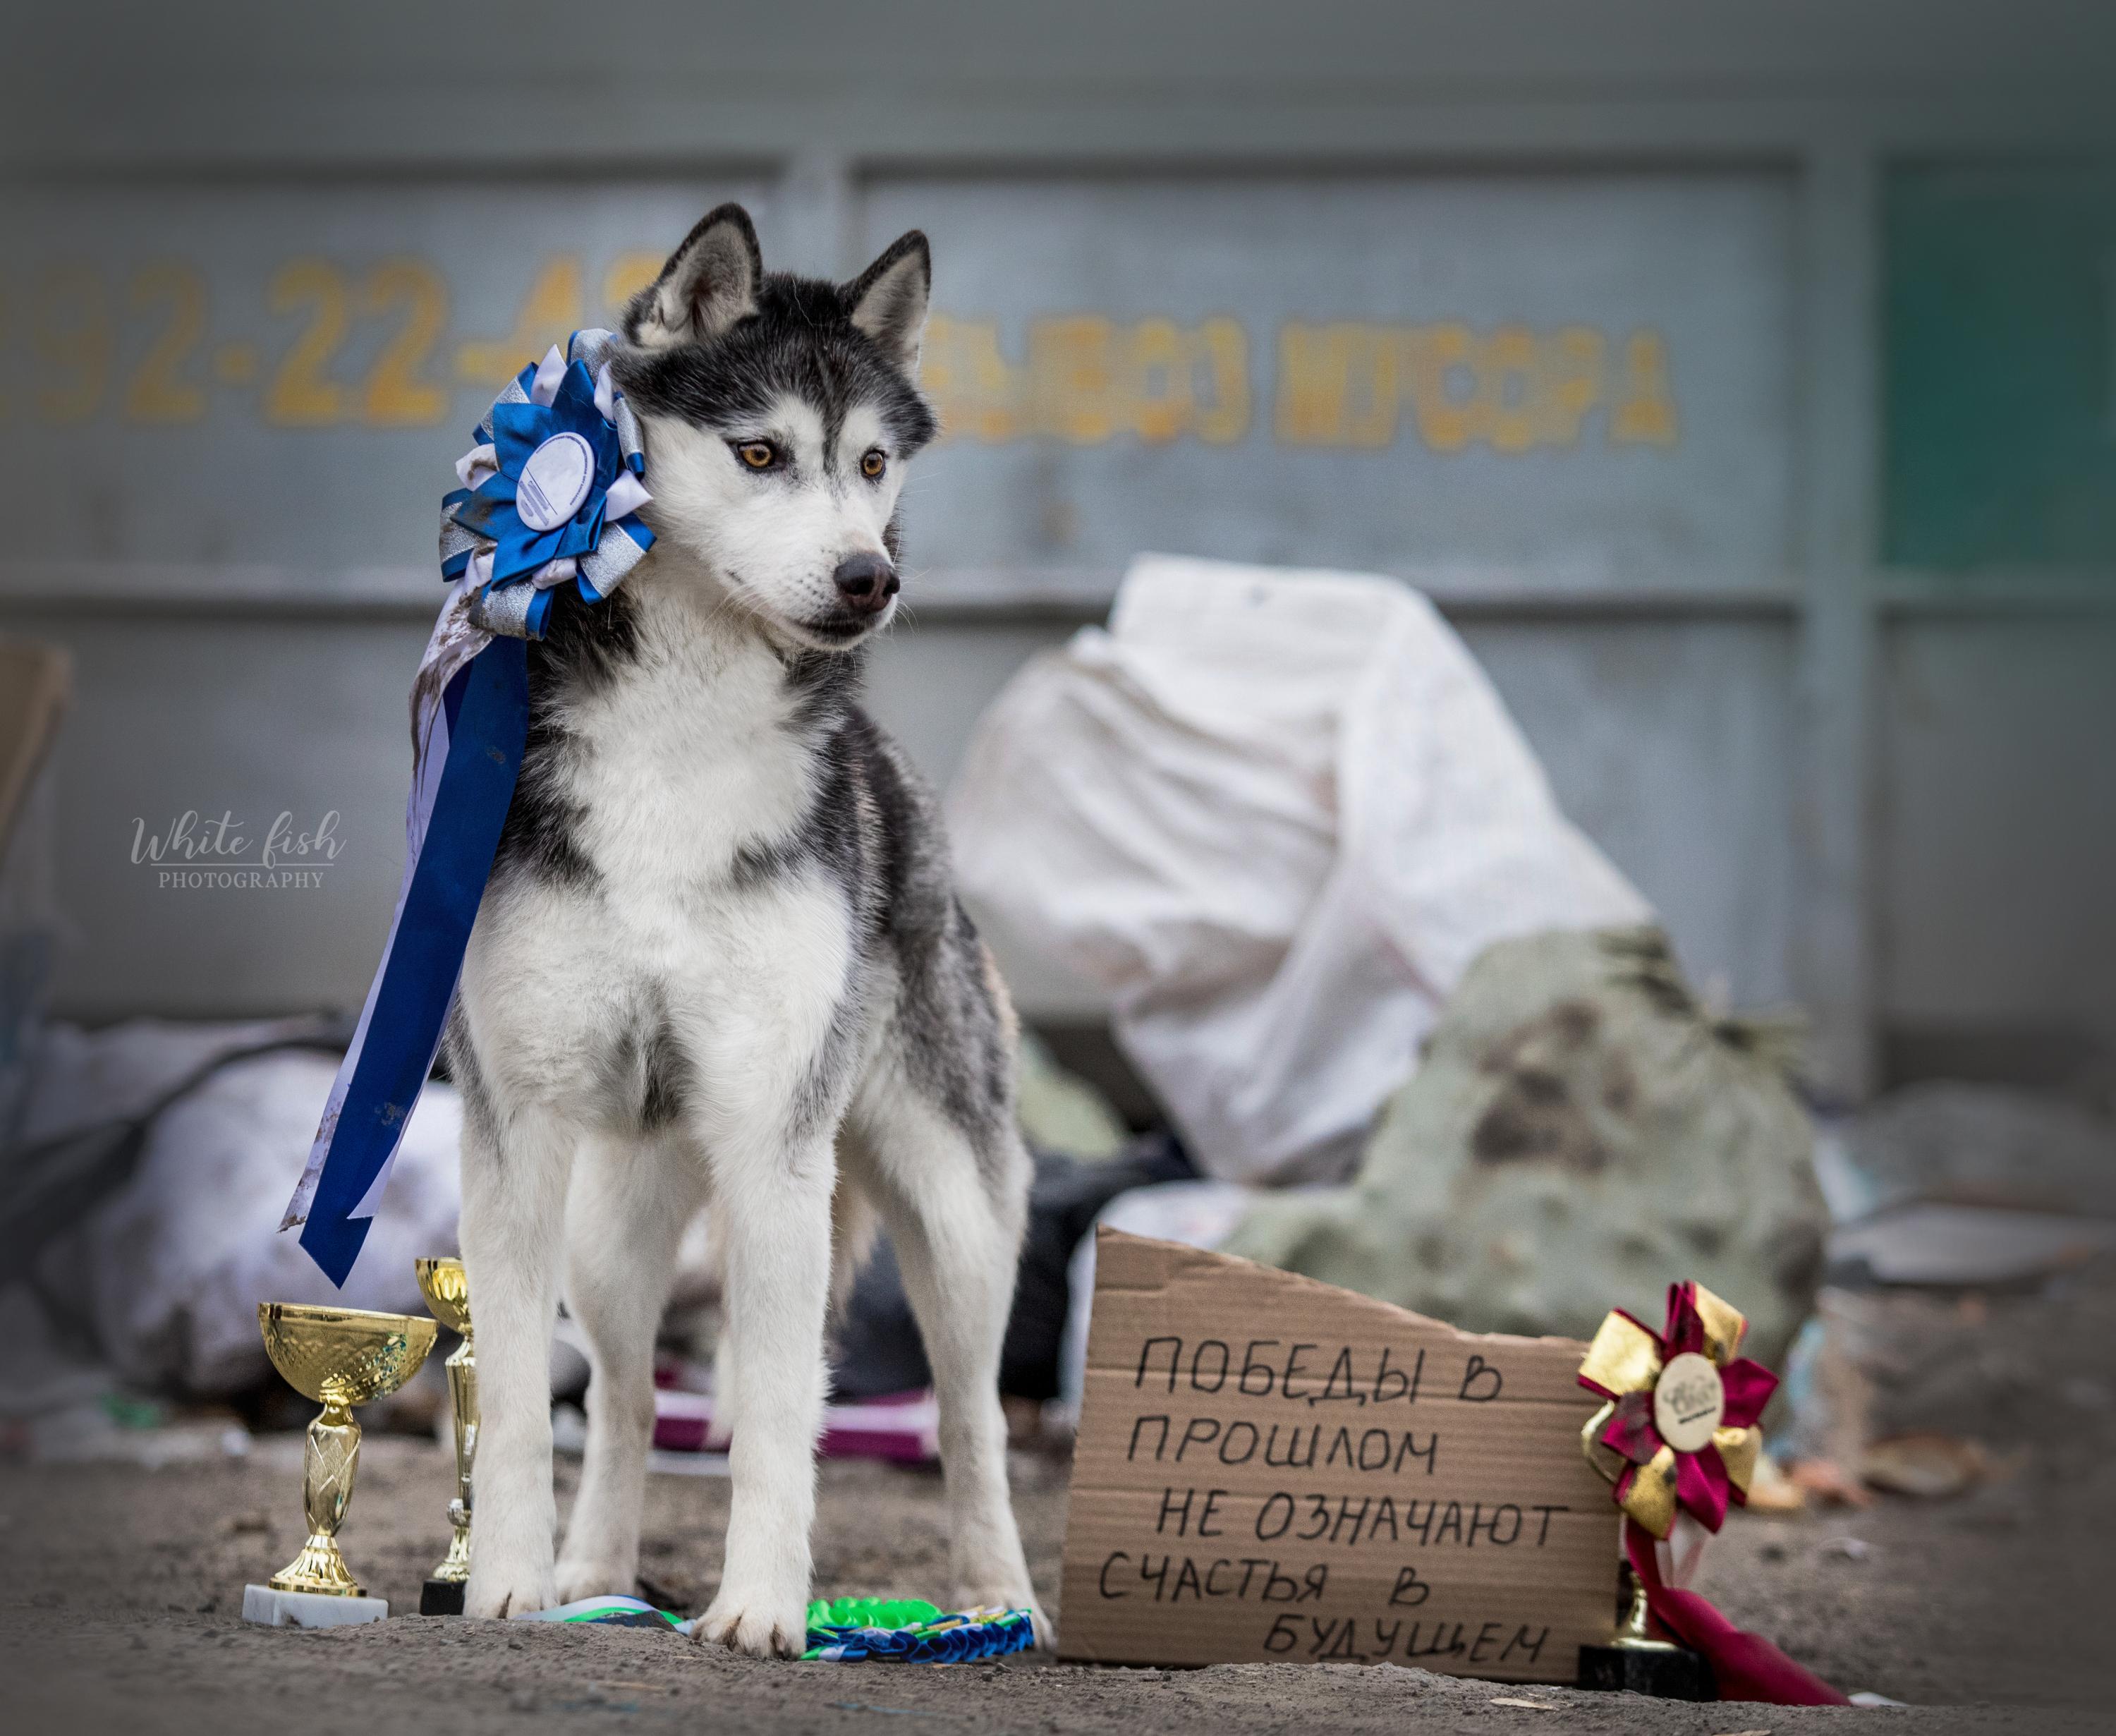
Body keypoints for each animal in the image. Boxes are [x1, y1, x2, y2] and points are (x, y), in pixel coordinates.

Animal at [451, 206, 1045, 1651]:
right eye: (762, 453)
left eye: (872, 461)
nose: (869, 576)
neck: (679, 742)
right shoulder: (518, 1125)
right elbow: (514, 1402)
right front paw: (505, 1582)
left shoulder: (778, 1140)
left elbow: (781, 1412)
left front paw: (765, 1609)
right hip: (614, 1229)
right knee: (618, 1399)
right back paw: (593, 1572)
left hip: (956, 1215)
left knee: (972, 1412)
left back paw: (999, 1596)